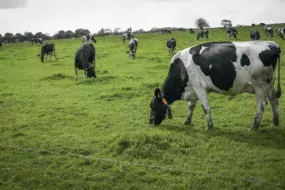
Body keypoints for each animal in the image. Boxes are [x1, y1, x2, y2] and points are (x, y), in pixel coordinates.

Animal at [148, 40, 280, 131]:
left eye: (153, 105)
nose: (151, 122)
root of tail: (272, 44)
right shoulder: (193, 89)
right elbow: (191, 107)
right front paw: (187, 121)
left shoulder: (199, 86)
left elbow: (205, 107)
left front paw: (209, 126)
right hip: (269, 84)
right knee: (274, 99)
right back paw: (275, 122)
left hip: (261, 85)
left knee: (262, 105)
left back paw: (254, 127)